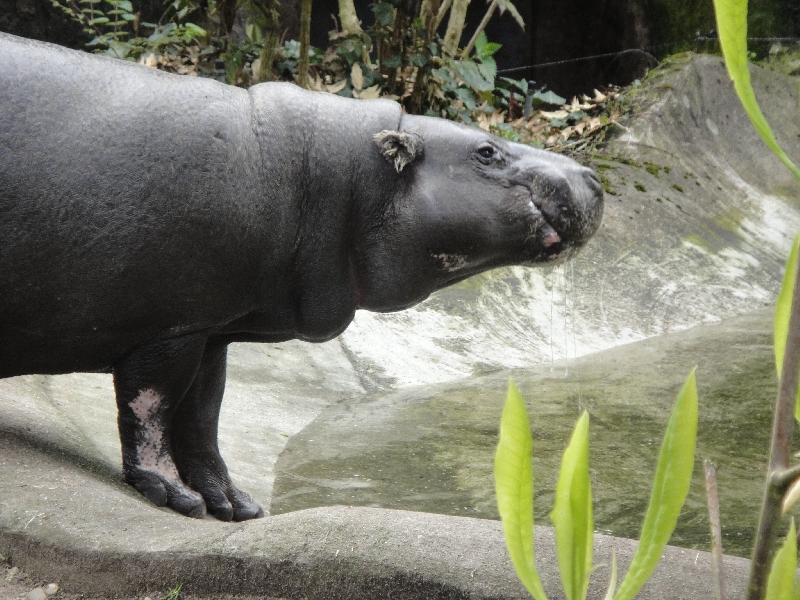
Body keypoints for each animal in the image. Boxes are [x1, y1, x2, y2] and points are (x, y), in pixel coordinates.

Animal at [0, 31, 600, 520]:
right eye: (486, 151)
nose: (591, 176)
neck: (340, 179)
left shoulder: (213, 330)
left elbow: (202, 420)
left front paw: (234, 506)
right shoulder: (172, 325)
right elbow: (152, 409)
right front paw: (173, 496)